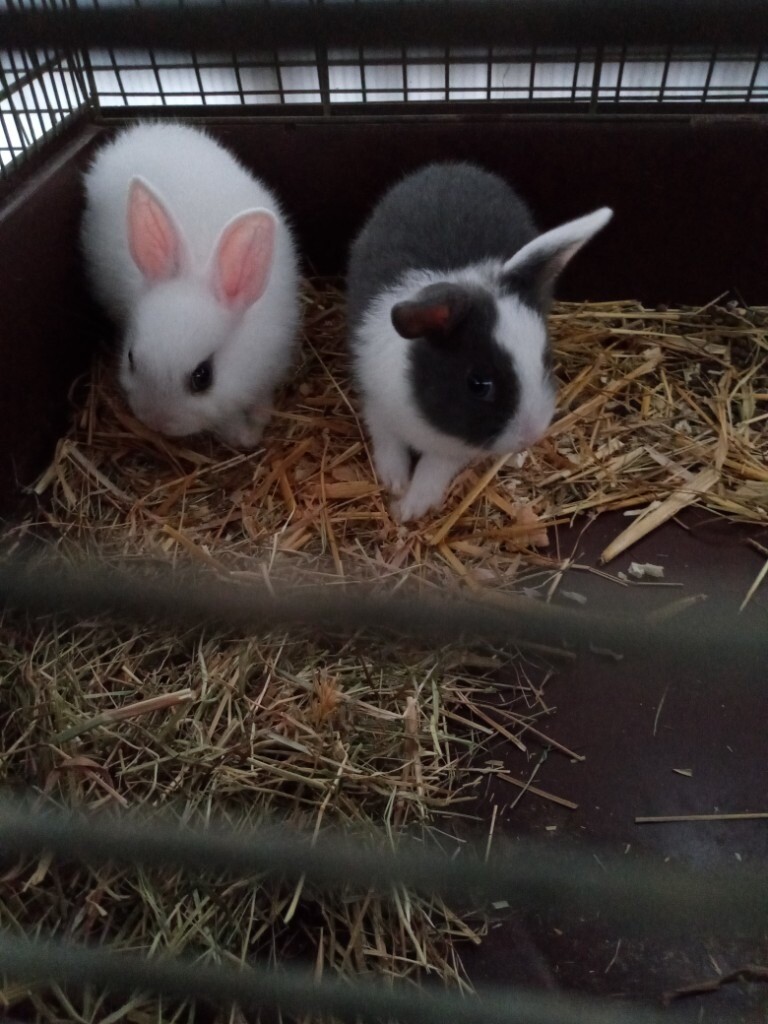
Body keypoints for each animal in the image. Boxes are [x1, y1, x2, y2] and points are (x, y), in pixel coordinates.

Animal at [346, 161, 613, 522]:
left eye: (545, 359)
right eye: (478, 384)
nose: (530, 435)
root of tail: (453, 166)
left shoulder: (453, 450)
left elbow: (432, 470)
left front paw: (410, 508)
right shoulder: (377, 405)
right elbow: (389, 445)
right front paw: (395, 485)